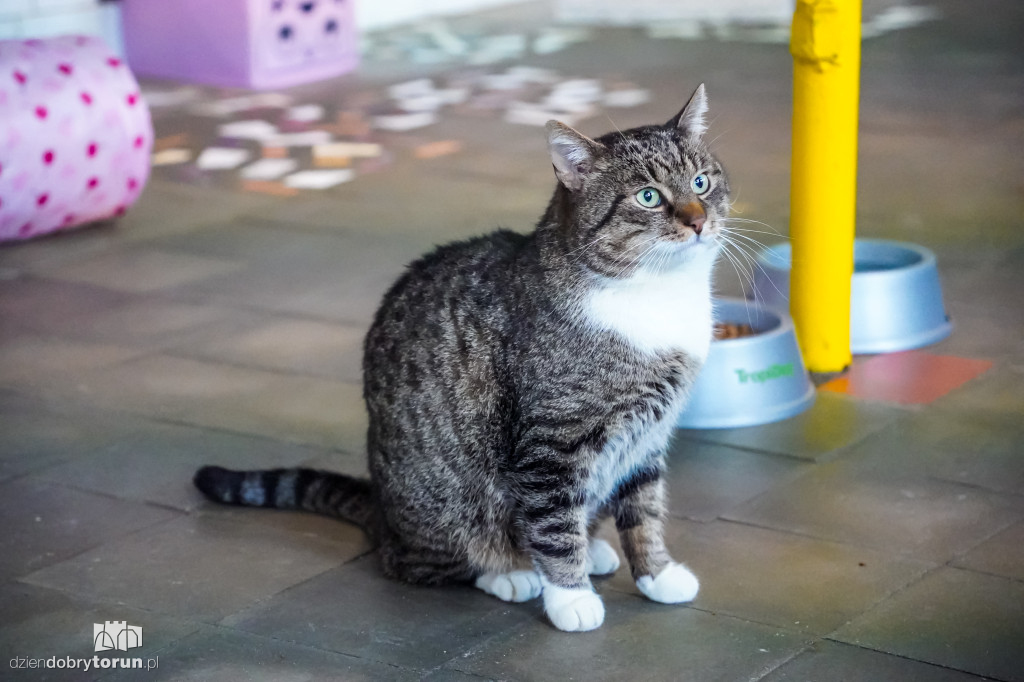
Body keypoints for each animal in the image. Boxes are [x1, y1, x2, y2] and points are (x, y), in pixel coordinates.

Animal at [195, 82, 729, 630]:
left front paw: (657, 574)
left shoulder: (648, 438)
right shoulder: (550, 447)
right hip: (446, 504)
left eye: (702, 182)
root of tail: (383, 516)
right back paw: (512, 574)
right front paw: (571, 597)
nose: (699, 221)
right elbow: (554, 527)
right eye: (649, 197)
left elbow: (644, 510)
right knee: (425, 561)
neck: (656, 296)